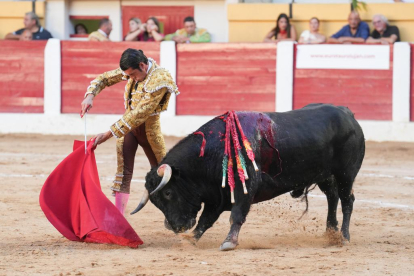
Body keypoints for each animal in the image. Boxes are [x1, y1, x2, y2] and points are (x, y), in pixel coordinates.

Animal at [131, 103, 364, 250]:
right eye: (156, 201)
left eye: (168, 193)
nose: (175, 227)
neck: (212, 152)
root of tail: (348, 114)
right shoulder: (217, 195)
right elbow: (206, 220)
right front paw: (189, 240)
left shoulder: (245, 187)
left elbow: (236, 214)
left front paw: (229, 243)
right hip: (325, 176)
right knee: (332, 197)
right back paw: (330, 233)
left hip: (345, 173)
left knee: (346, 200)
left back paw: (344, 237)